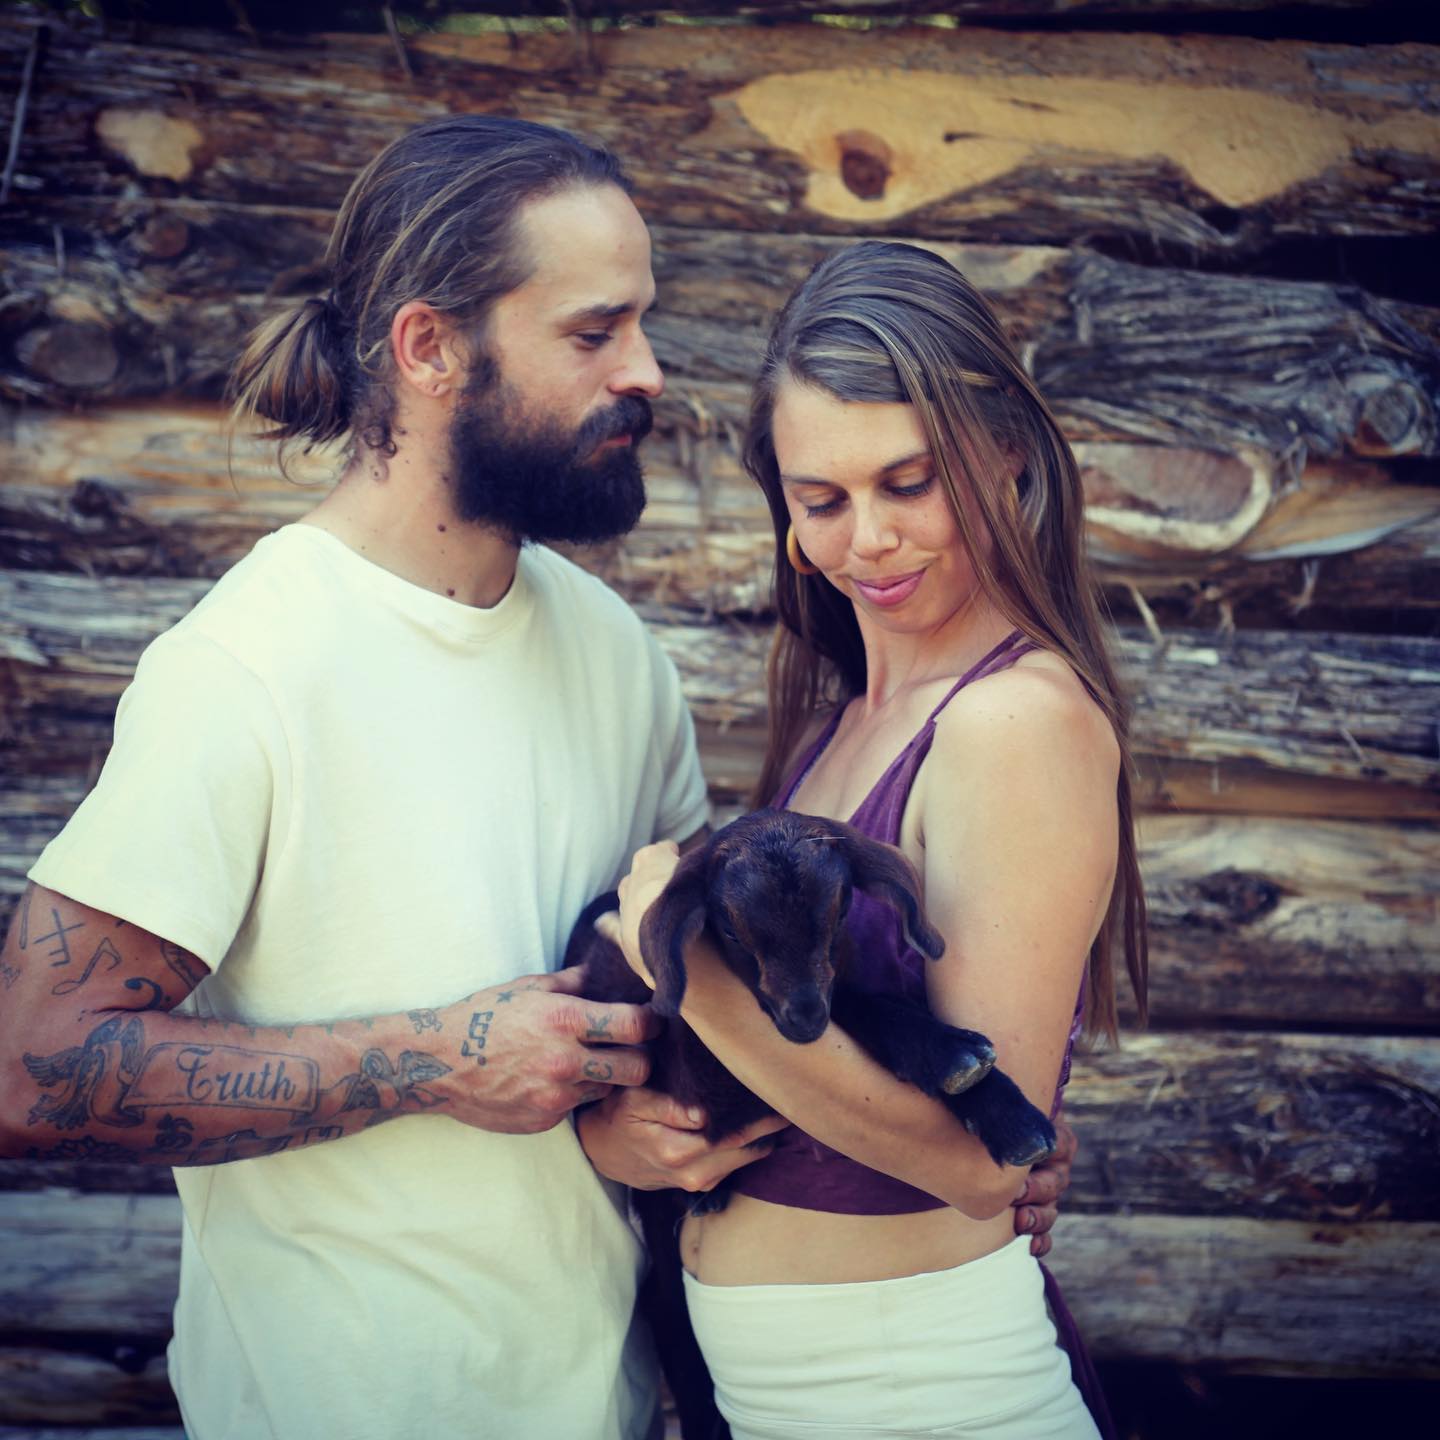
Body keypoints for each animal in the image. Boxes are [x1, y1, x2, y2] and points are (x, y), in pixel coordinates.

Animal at [564, 806, 1059, 1175]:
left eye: (840, 914)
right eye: (731, 931)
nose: (804, 1019)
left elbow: (871, 1003)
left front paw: (1008, 1114)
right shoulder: (706, 1078)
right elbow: (861, 1008)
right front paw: (954, 1056)